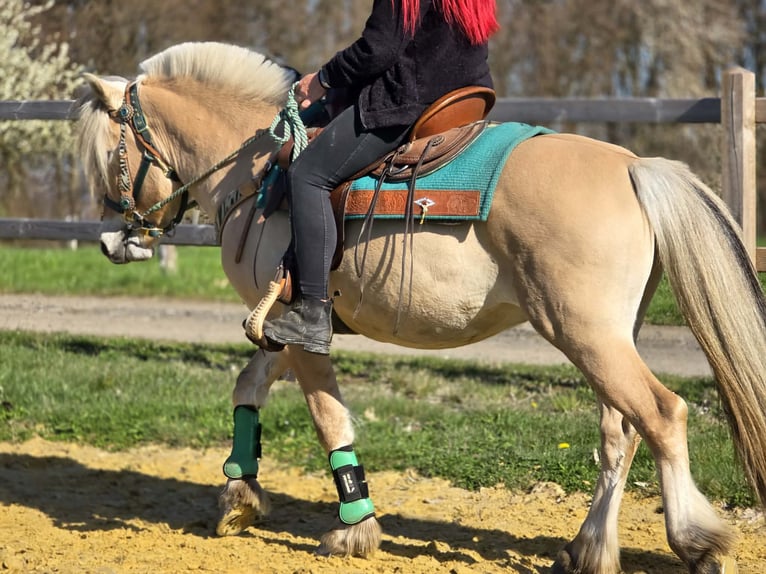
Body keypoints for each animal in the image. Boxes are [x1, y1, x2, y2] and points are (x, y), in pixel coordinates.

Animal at [75, 41, 766, 574]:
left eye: (110, 151)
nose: (113, 239)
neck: (261, 172)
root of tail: (632, 165)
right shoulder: (282, 326)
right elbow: (248, 386)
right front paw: (239, 493)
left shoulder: (302, 331)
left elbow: (329, 418)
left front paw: (353, 527)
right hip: (608, 338)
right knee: (618, 434)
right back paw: (588, 549)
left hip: (587, 336)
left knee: (663, 415)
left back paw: (696, 543)